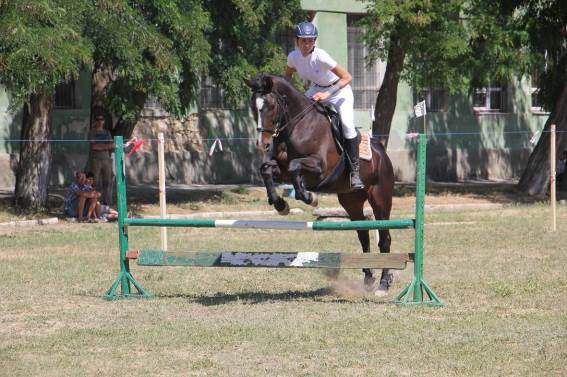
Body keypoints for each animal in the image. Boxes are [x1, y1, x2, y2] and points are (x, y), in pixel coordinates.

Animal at [246, 72, 398, 292]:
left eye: (271, 106)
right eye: (253, 105)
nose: (262, 144)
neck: (296, 126)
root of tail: (382, 153)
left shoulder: (319, 168)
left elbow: (295, 167)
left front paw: (310, 197)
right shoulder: (280, 171)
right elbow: (267, 170)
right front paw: (280, 205)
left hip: (380, 199)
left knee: (384, 237)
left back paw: (384, 284)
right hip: (351, 201)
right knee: (363, 234)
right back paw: (369, 278)